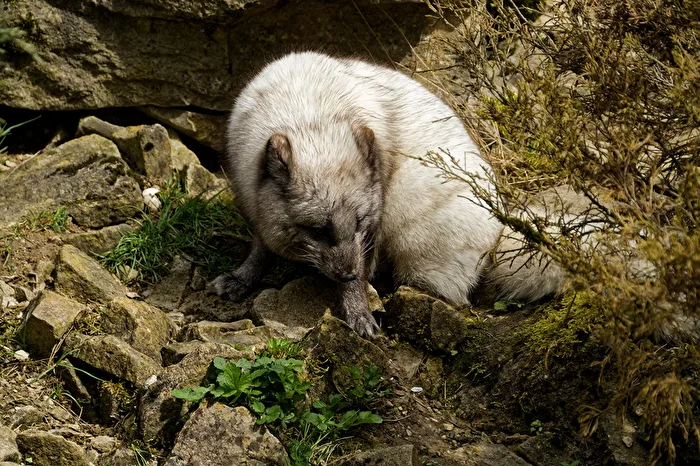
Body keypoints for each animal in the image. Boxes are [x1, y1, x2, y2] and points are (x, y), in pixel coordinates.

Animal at [210, 52, 562, 337]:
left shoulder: (373, 227)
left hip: (409, 205)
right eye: (319, 230)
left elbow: (361, 269)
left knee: (453, 295)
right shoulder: (251, 194)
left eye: (358, 223)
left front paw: (358, 312)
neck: (308, 118)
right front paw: (242, 278)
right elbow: (260, 246)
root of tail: (501, 230)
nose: (348, 274)